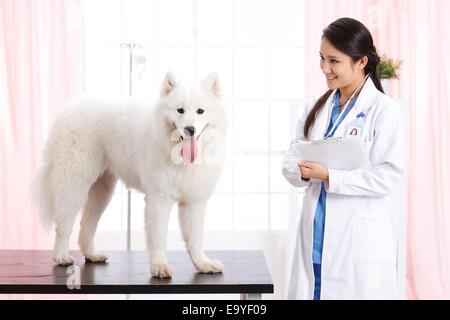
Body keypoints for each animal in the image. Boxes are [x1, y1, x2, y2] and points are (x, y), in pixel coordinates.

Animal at [33, 72, 227, 278]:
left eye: (200, 111)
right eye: (180, 110)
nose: (190, 129)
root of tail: (67, 110)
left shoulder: (194, 202)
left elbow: (195, 239)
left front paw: (203, 264)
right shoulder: (159, 200)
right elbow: (158, 237)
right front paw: (159, 266)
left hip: (102, 192)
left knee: (86, 225)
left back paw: (92, 255)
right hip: (74, 185)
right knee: (64, 225)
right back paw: (61, 256)